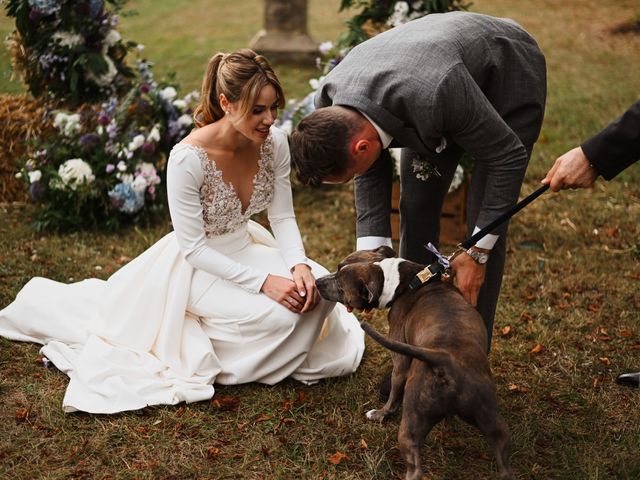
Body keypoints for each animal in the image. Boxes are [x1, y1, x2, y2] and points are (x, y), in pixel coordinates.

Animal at [316, 248, 516, 480]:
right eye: (338, 266)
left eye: (341, 287)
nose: (317, 282)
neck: (401, 281)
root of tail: (444, 360)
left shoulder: (400, 361)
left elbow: (394, 394)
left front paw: (382, 413)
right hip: (491, 418)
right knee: (503, 451)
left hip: (411, 421)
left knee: (415, 466)